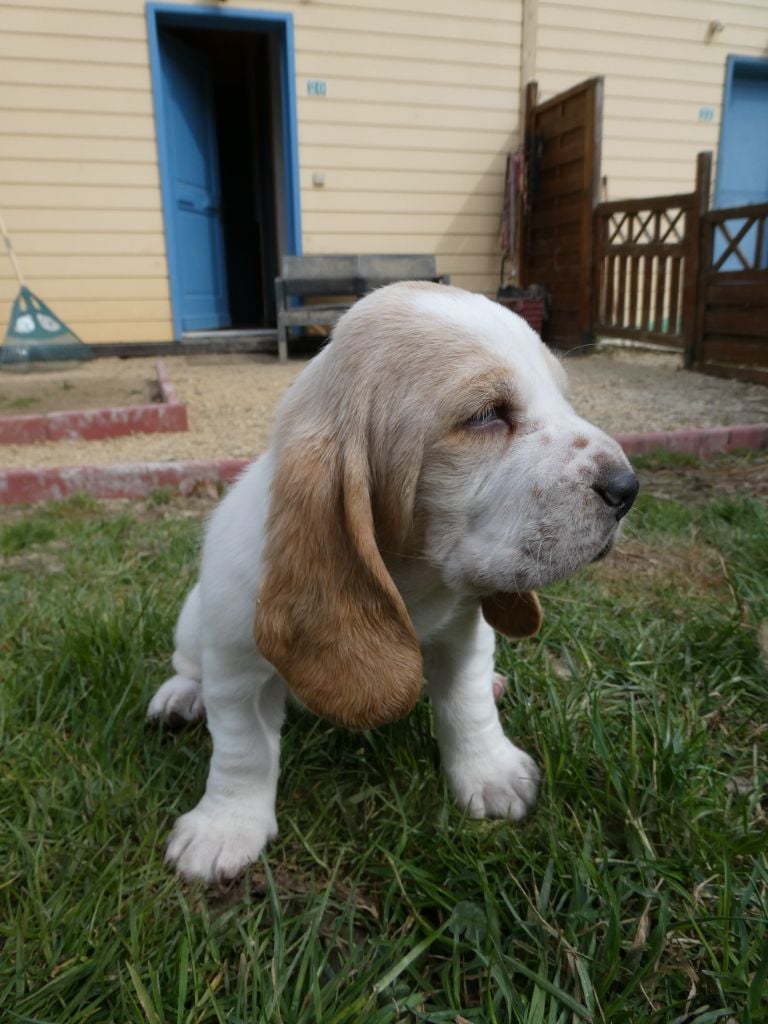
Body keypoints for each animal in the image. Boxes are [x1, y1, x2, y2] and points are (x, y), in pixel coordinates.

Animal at [148, 280, 638, 880]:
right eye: (485, 415)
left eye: (564, 398)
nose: (628, 488)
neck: (412, 581)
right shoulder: (236, 671)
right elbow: (243, 752)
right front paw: (225, 828)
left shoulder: (466, 633)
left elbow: (467, 707)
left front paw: (491, 773)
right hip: (194, 618)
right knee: (188, 666)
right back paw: (178, 697)